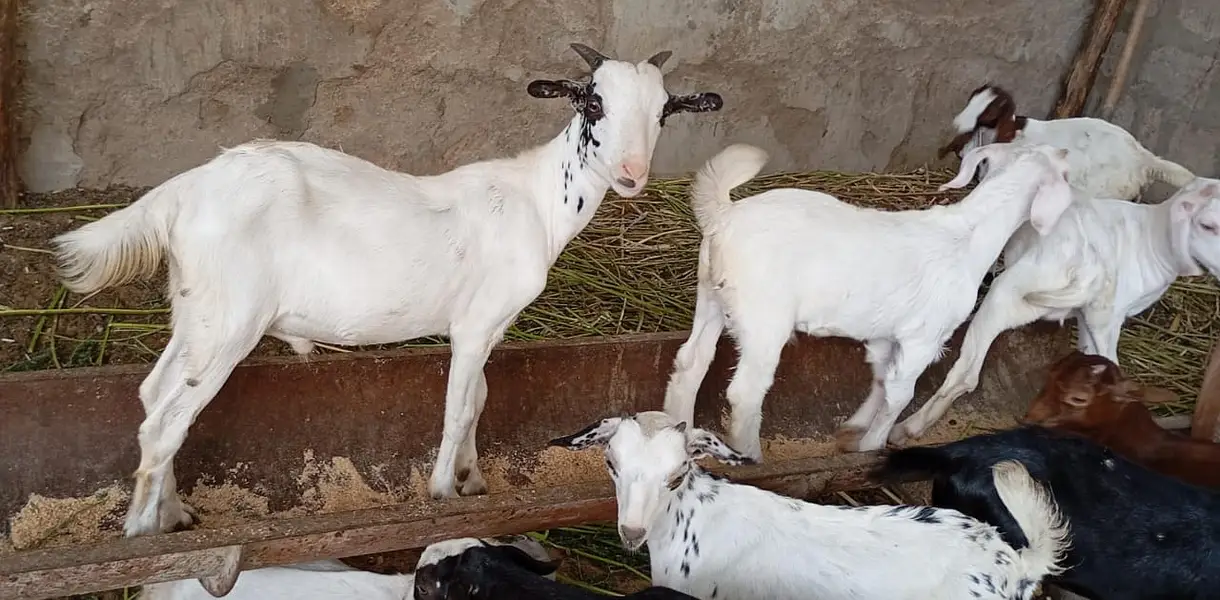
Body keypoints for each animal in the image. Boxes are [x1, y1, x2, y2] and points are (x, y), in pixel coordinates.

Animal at [49, 43, 723, 537]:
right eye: (594, 104)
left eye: (663, 112)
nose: (633, 175)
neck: (537, 200)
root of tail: (185, 190)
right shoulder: (474, 325)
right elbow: (457, 409)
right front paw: (442, 491)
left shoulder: (491, 325)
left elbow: (480, 398)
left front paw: (474, 479)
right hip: (230, 322)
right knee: (167, 422)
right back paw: (142, 533)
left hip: (198, 313)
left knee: (153, 396)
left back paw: (174, 512)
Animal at [662, 140, 1076, 456]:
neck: (968, 236)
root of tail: (724, 215)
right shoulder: (923, 338)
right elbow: (901, 393)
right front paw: (872, 448)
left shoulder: (886, 334)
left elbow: (880, 379)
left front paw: (853, 431)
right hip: (764, 316)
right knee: (746, 392)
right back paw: (751, 456)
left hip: (711, 296)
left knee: (690, 361)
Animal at [890, 177, 1220, 444]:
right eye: (1207, 225)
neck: (1152, 241)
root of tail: (1085, 269)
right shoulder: (1101, 317)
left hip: (1007, 294)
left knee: (967, 374)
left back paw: (905, 429)